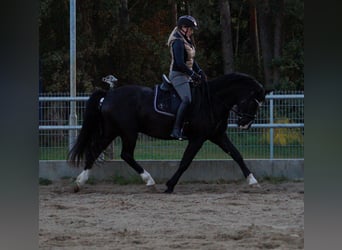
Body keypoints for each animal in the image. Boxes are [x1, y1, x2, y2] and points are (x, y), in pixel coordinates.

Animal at [68, 72, 268, 193]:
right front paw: (170, 185)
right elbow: (185, 162)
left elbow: (236, 154)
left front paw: (253, 180)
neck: (212, 100)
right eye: (254, 102)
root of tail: (108, 95)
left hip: (113, 131)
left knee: (95, 151)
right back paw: (148, 179)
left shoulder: (217, 135)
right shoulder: (198, 138)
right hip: (127, 132)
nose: (245, 124)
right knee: (125, 154)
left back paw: (79, 182)